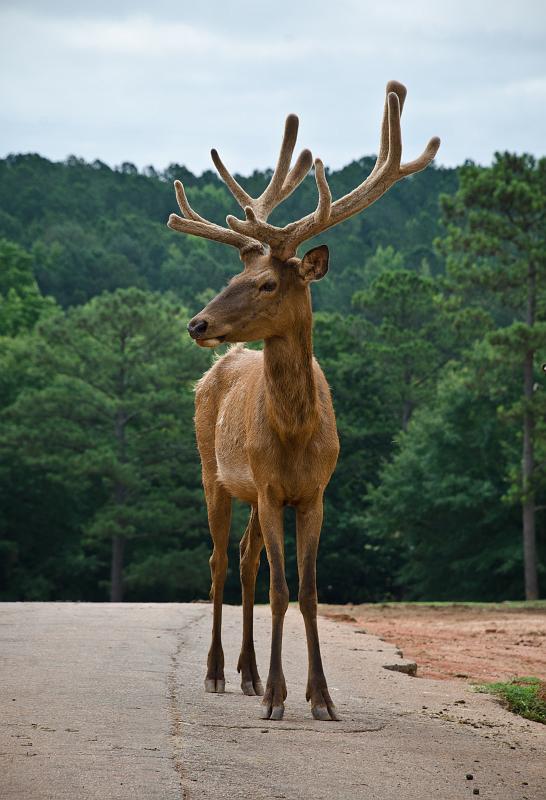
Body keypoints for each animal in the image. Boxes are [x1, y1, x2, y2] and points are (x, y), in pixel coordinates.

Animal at [167, 81, 440, 721]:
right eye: (235, 278)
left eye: (267, 283)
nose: (197, 323)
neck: (294, 435)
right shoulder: (270, 487)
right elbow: (281, 589)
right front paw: (276, 697)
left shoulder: (314, 491)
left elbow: (310, 590)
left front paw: (319, 697)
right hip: (213, 471)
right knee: (220, 562)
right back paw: (219, 673)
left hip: (249, 487)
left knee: (246, 559)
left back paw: (245, 674)